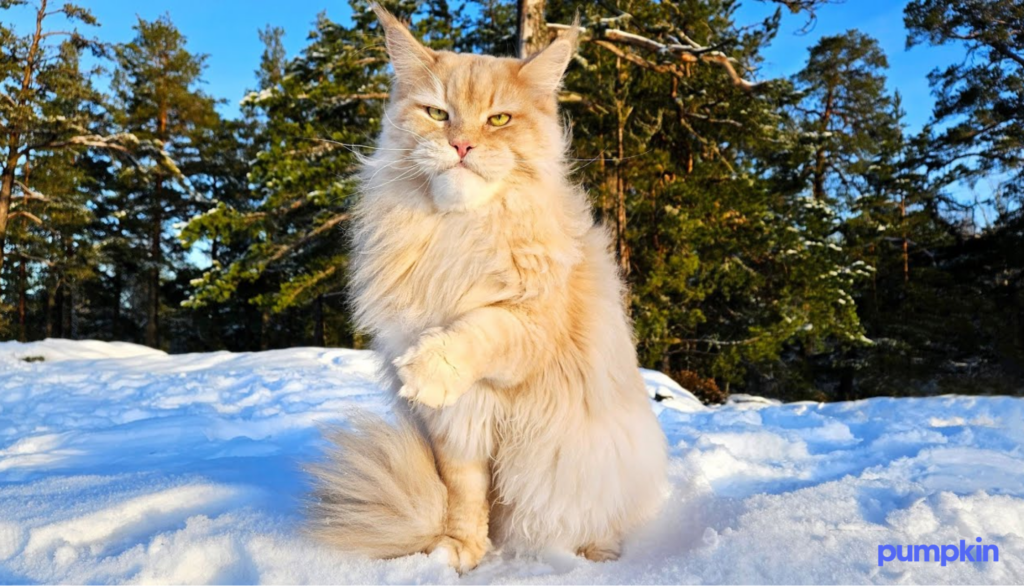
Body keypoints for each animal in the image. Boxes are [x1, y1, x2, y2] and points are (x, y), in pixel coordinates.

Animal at [303, 4, 667, 573]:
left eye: (499, 120)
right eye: (437, 114)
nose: (461, 145)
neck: (461, 234)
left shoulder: (533, 327)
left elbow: (482, 328)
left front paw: (429, 368)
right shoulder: (456, 430)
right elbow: (463, 495)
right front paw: (461, 554)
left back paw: (596, 554)